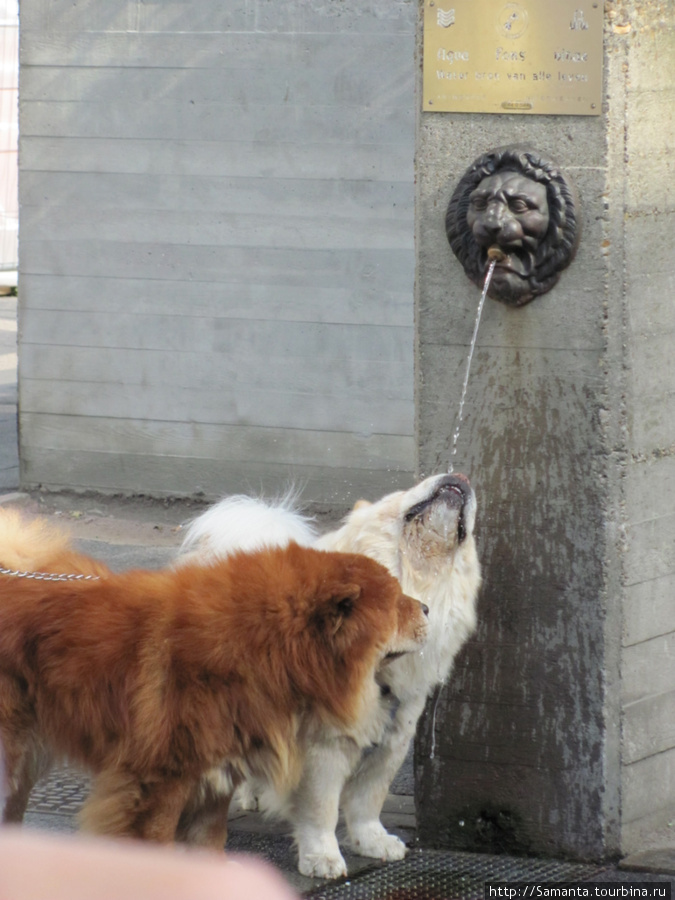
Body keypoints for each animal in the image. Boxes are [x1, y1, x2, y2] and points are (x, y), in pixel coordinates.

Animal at [180, 474, 480, 876]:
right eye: (407, 489)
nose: (458, 476)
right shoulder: (321, 749)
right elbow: (321, 811)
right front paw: (322, 859)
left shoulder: (392, 739)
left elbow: (368, 801)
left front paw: (374, 843)